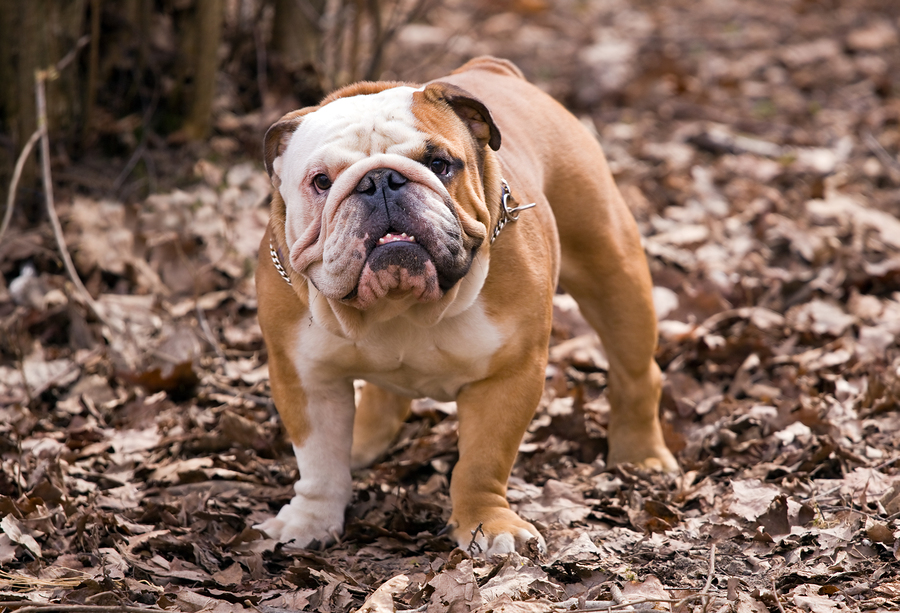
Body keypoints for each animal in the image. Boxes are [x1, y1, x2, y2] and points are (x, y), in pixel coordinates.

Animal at [253, 57, 676, 556]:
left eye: (440, 164)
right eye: (321, 181)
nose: (380, 181)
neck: (402, 306)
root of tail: (491, 66)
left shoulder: (508, 375)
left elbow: (481, 461)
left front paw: (486, 525)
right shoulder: (305, 377)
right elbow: (318, 460)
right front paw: (310, 519)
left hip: (611, 269)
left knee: (636, 371)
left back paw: (642, 455)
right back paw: (360, 444)